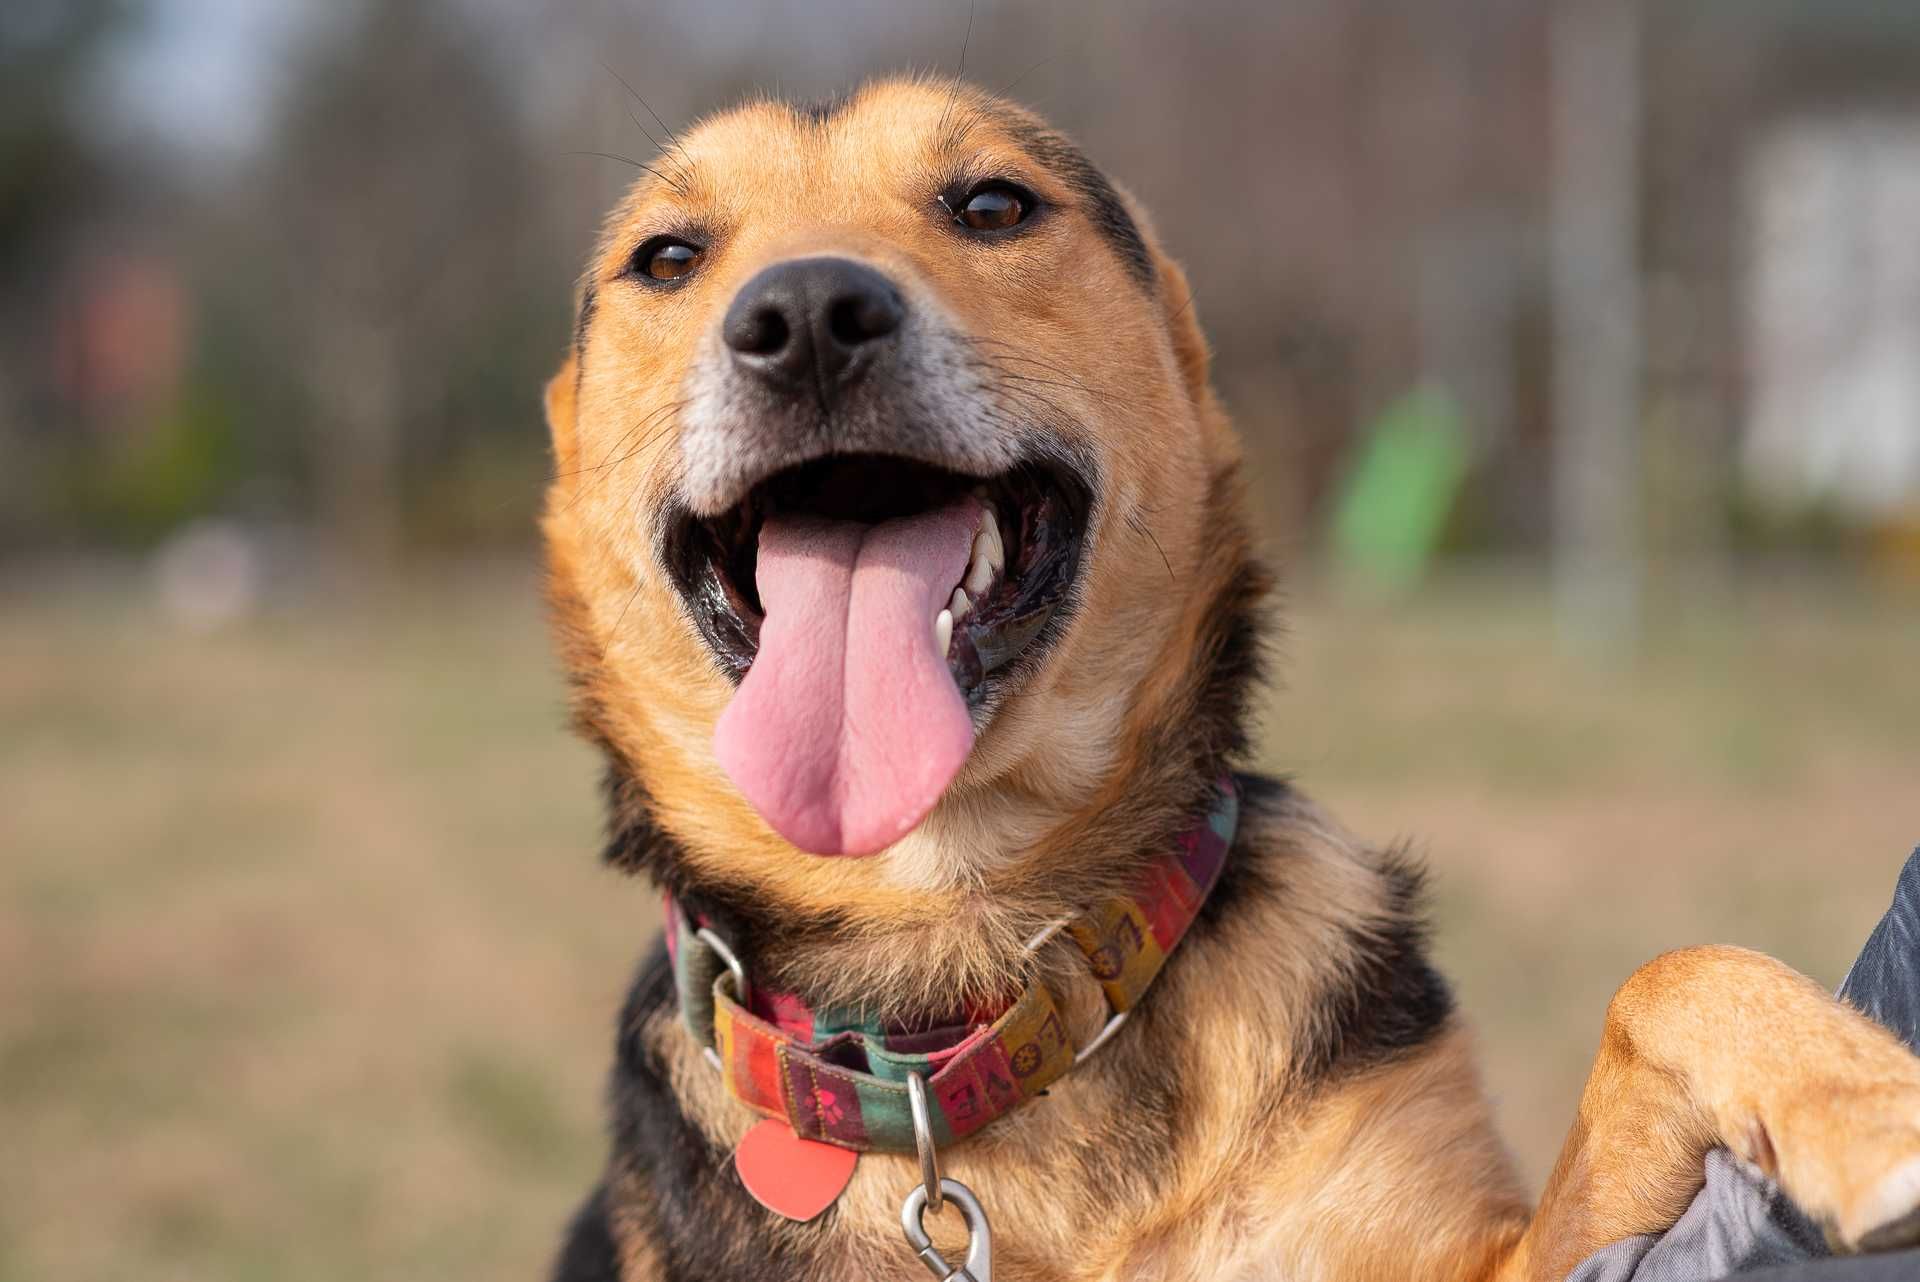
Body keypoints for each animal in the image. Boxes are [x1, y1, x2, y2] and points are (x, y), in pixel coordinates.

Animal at [533, 80, 1920, 1282]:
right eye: (668, 258)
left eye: (994, 204)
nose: (810, 315)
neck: (964, 950)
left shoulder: (1481, 1253)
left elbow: (1671, 973)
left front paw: (1864, 1103)